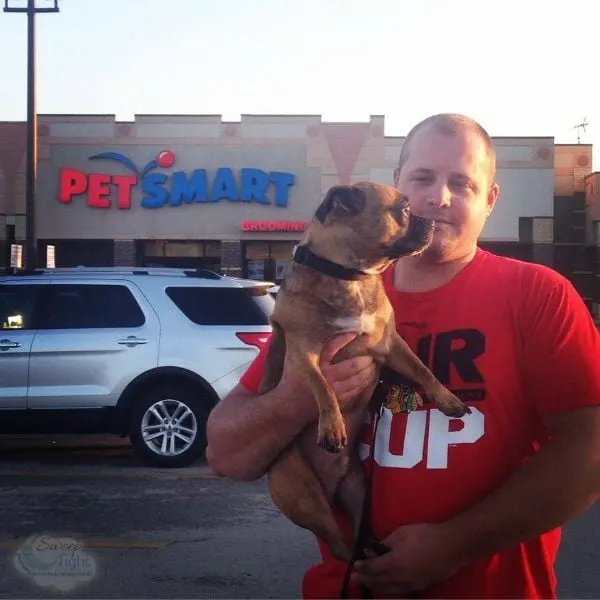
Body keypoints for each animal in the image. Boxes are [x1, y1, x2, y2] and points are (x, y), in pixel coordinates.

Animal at [256, 182, 468, 564]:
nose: (431, 220)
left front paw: (447, 399)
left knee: (355, 537)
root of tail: (331, 486)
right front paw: (332, 426)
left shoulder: (391, 345)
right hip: (302, 494)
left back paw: (373, 546)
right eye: (404, 209)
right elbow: (322, 386)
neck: (349, 276)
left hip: (358, 486)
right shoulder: (303, 356)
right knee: (340, 549)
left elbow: (423, 369)